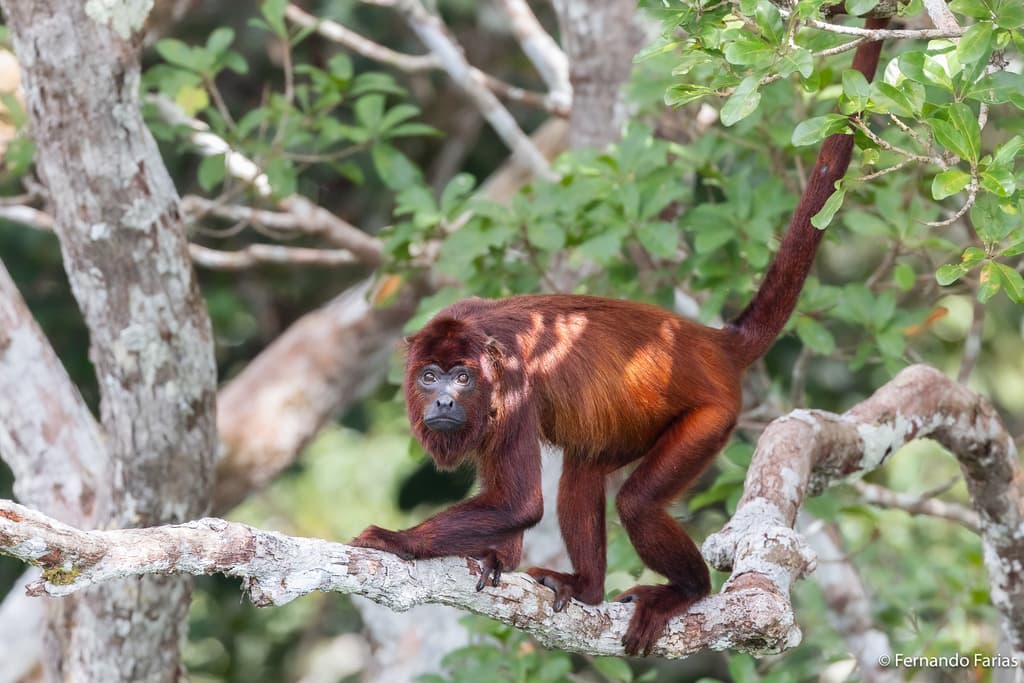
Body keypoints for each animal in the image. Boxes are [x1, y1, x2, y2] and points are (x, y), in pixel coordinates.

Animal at [353, 24, 887, 656]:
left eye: (462, 377)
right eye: (429, 375)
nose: (440, 400)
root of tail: (711, 342)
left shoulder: (511, 385)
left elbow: (520, 502)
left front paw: (398, 541)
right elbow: (512, 501)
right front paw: (496, 556)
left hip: (712, 415)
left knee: (636, 502)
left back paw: (686, 590)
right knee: (583, 473)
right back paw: (584, 586)